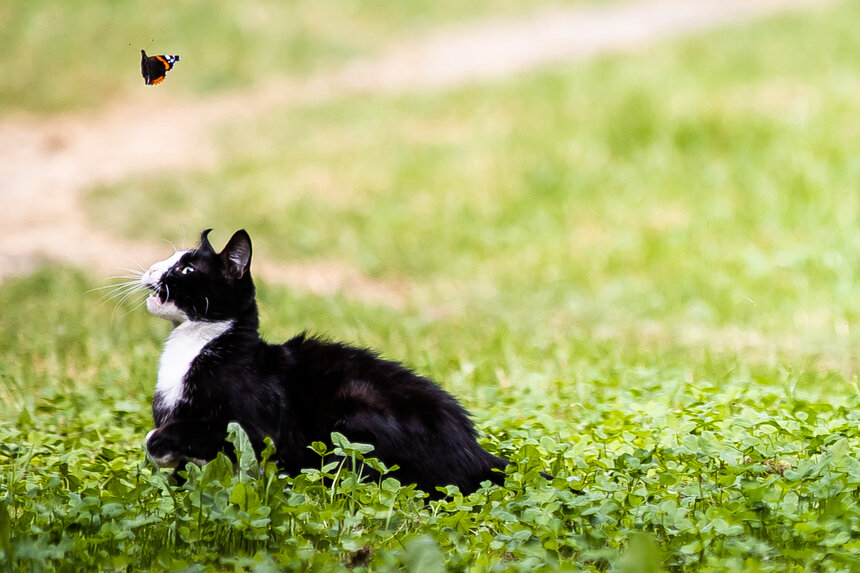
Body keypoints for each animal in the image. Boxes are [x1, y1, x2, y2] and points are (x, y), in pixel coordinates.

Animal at [141, 230, 510, 494]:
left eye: (186, 268)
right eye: (170, 259)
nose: (151, 269)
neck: (195, 349)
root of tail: (476, 452)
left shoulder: (258, 430)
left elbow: (178, 432)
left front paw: (162, 448)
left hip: (354, 414)